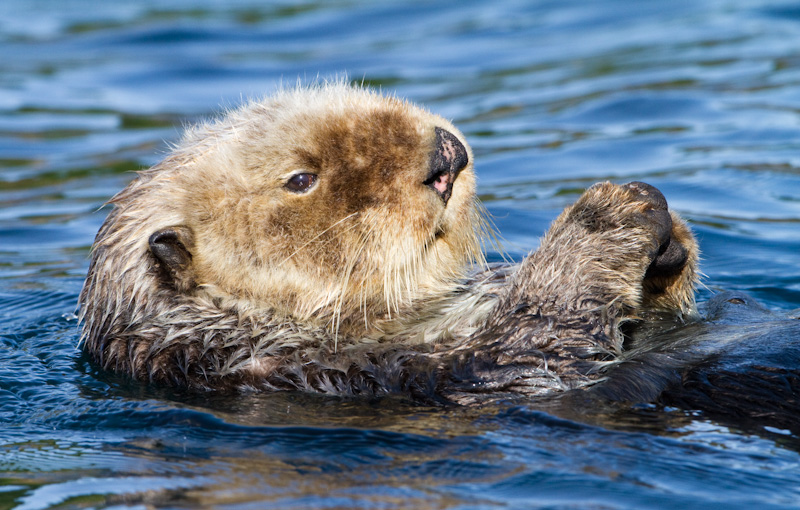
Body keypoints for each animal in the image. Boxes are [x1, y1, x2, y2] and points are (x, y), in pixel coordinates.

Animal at [78, 82, 696, 402]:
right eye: (300, 179)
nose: (447, 155)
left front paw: (670, 245)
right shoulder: (360, 373)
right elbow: (535, 347)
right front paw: (611, 212)